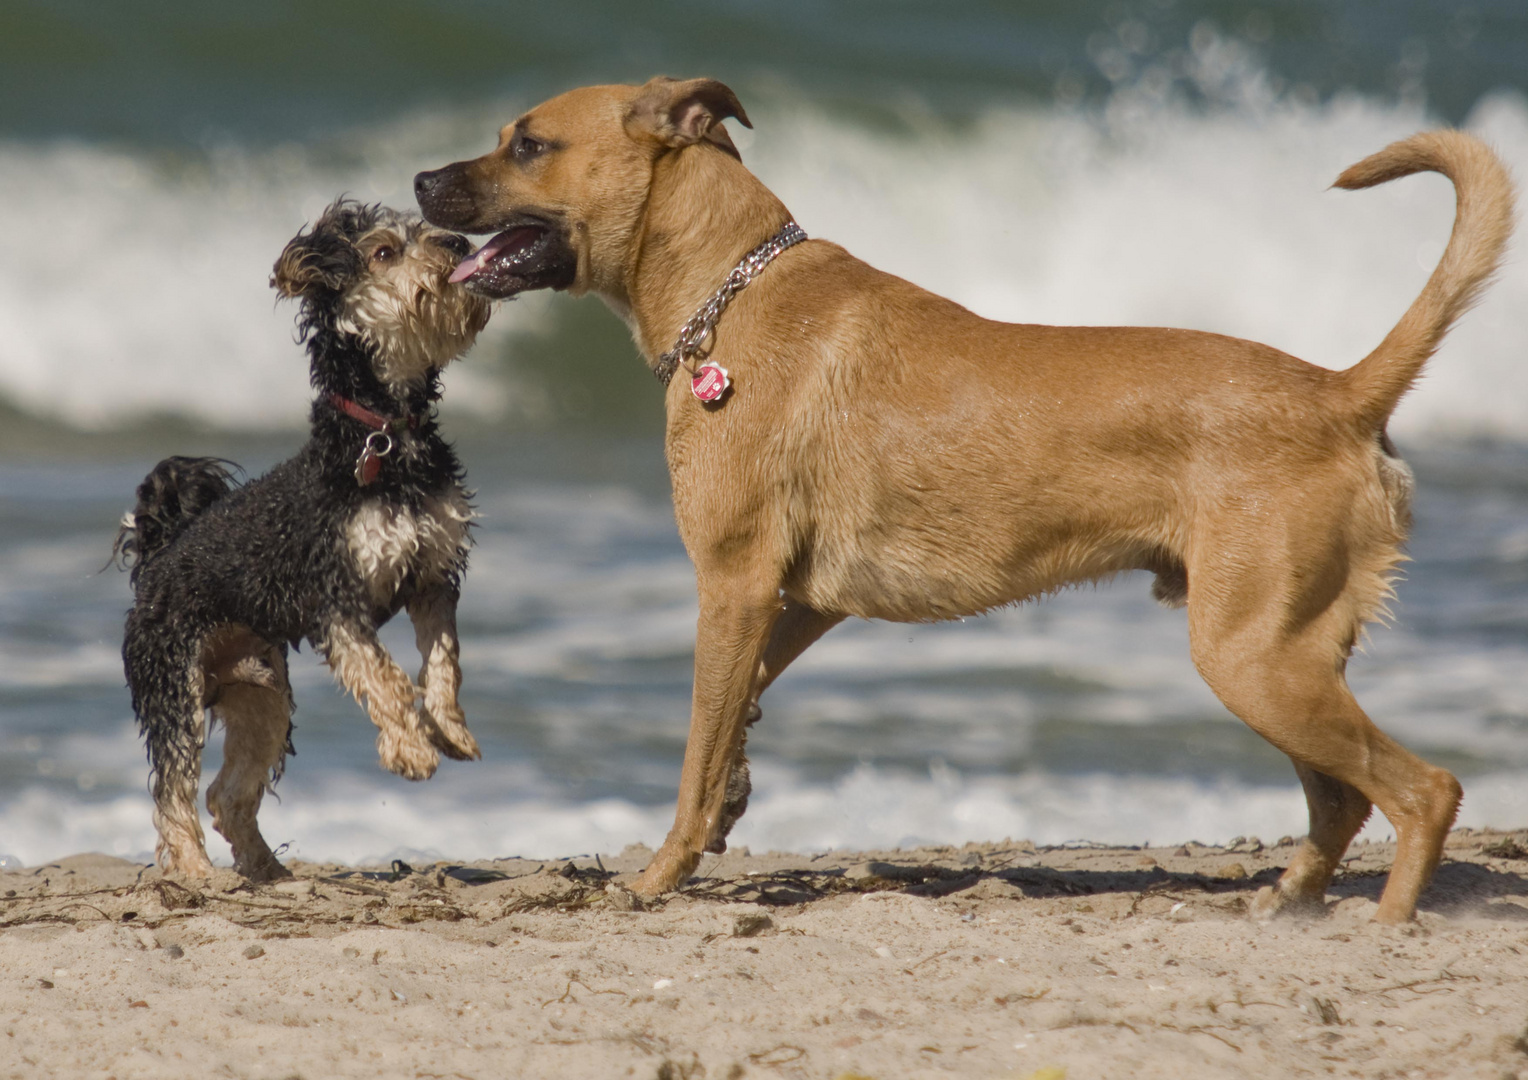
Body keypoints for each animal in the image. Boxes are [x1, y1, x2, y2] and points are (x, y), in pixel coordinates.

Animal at [119, 198, 488, 885]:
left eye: (427, 230)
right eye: (384, 252)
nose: (455, 243)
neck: (383, 438)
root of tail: (158, 558)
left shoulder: (432, 576)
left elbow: (444, 661)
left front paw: (450, 731)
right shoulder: (335, 597)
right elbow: (385, 675)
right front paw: (411, 750)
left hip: (262, 692)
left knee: (227, 794)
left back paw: (270, 874)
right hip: (173, 684)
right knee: (173, 791)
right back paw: (196, 872)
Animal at [418, 75, 1515, 922]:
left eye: (529, 143)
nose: (421, 180)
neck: (733, 290)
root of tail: (1340, 392)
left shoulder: (733, 588)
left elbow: (695, 753)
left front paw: (659, 875)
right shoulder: (794, 604)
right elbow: (736, 720)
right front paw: (731, 800)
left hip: (1253, 657)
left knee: (1424, 790)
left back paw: (1389, 920)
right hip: (1283, 655)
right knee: (1343, 801)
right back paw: (1290, 900)